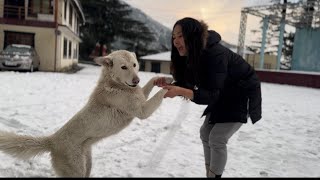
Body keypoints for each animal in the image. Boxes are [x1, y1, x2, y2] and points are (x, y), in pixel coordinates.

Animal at [0, 50, 172, 178]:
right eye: (123, 67)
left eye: (134, 65)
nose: (137, 80)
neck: (114, 84)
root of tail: (52, 140)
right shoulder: (143, 111)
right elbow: (160, 94)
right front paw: (172, 87)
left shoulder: (141, 97)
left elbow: (150, 84)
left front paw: (164, 78)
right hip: (76, 170)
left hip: (87, 164)